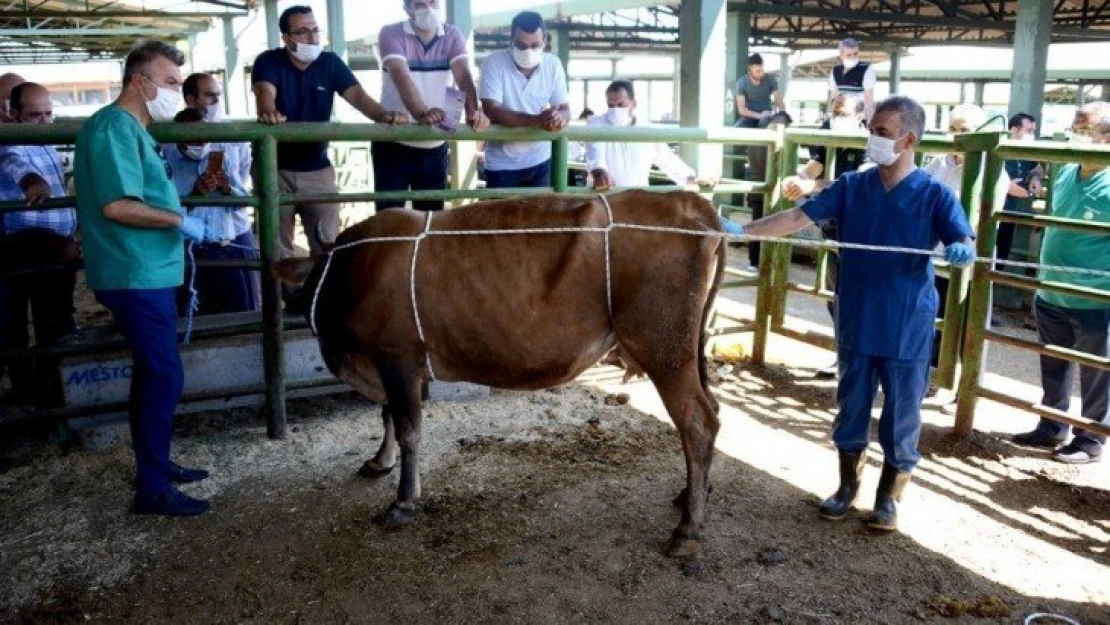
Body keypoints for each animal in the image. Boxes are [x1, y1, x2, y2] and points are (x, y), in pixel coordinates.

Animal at [277, 190, 728, 557]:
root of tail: (690, 203)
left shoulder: (397, 356)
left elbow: (408, 429)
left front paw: (403, 501)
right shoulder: (388, 363)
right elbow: (387, 414)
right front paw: (378, 461)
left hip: (665, 350)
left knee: (697, 423)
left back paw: (688, 529)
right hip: (688, 351)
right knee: (711, 411)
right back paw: (693, 493)